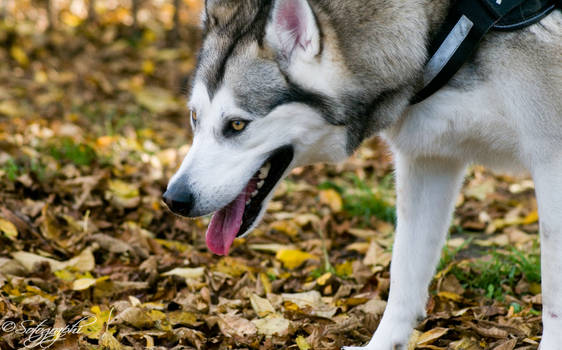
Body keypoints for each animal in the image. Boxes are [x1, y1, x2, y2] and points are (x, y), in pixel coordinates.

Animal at [164, 0, 560, 348]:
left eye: (236, 124)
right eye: (195, 117)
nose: (174, 199)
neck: (449, 24)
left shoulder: (551, 165)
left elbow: (553, 289)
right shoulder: (429, 159)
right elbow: (404, 272)